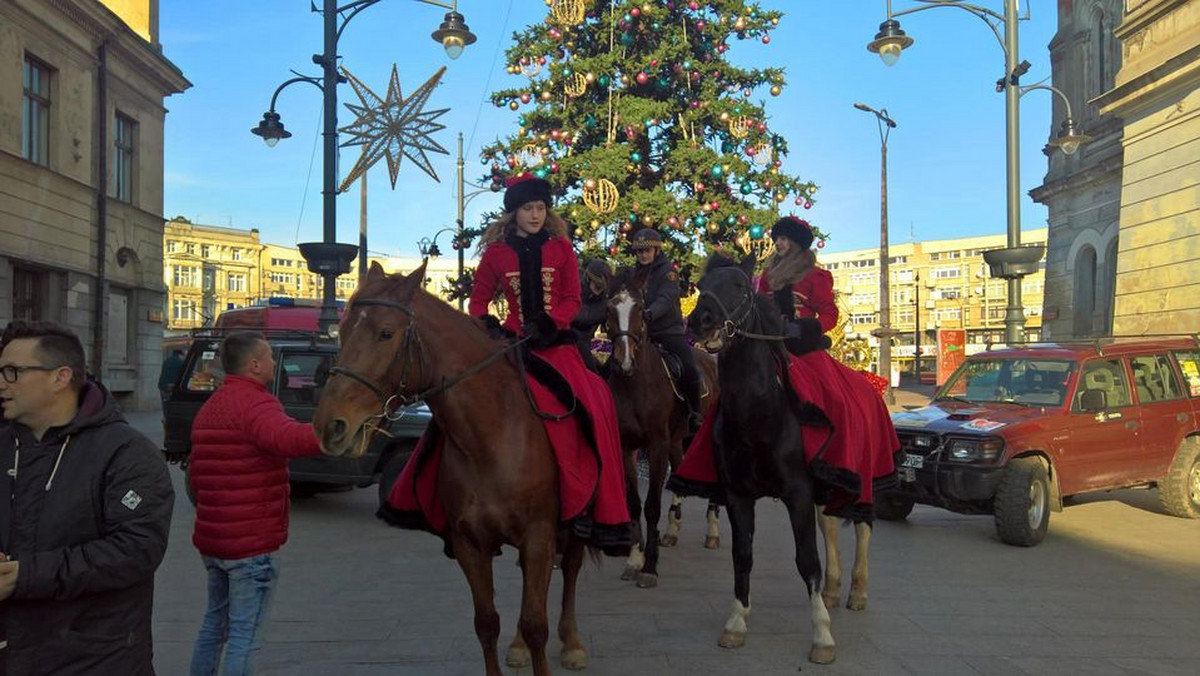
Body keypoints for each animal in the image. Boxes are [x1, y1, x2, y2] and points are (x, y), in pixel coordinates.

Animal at [309, 261, 590, 672]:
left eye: (386, 333)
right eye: (341, 332)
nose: (329, 425)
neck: (491, 438)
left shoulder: (538, 535)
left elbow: (537, 624)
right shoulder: (469, 543)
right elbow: (487, 623)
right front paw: (512, 642)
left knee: (570, 568)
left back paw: (572, 642)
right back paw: (520, 645)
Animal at [604, 270, 715, 588]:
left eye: (641, 309)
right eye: (609, 309)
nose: (624, 360)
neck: (634, 383)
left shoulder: (656, 446)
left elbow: (651, 504)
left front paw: (650, 567)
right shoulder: (626, 446)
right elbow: (633, 503)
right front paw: (634, 559)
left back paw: (712, 531)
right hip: (679, 442)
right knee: (679, 474)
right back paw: (672, 530)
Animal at [686, 254, 835, 667]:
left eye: (740, 285)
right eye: (701, 284)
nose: (701, 320)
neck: (760, 417)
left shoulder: (799, 493)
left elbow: (807, 560)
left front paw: (822, 635)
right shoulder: (737, 494)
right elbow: (742, 555)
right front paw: (737, 621)